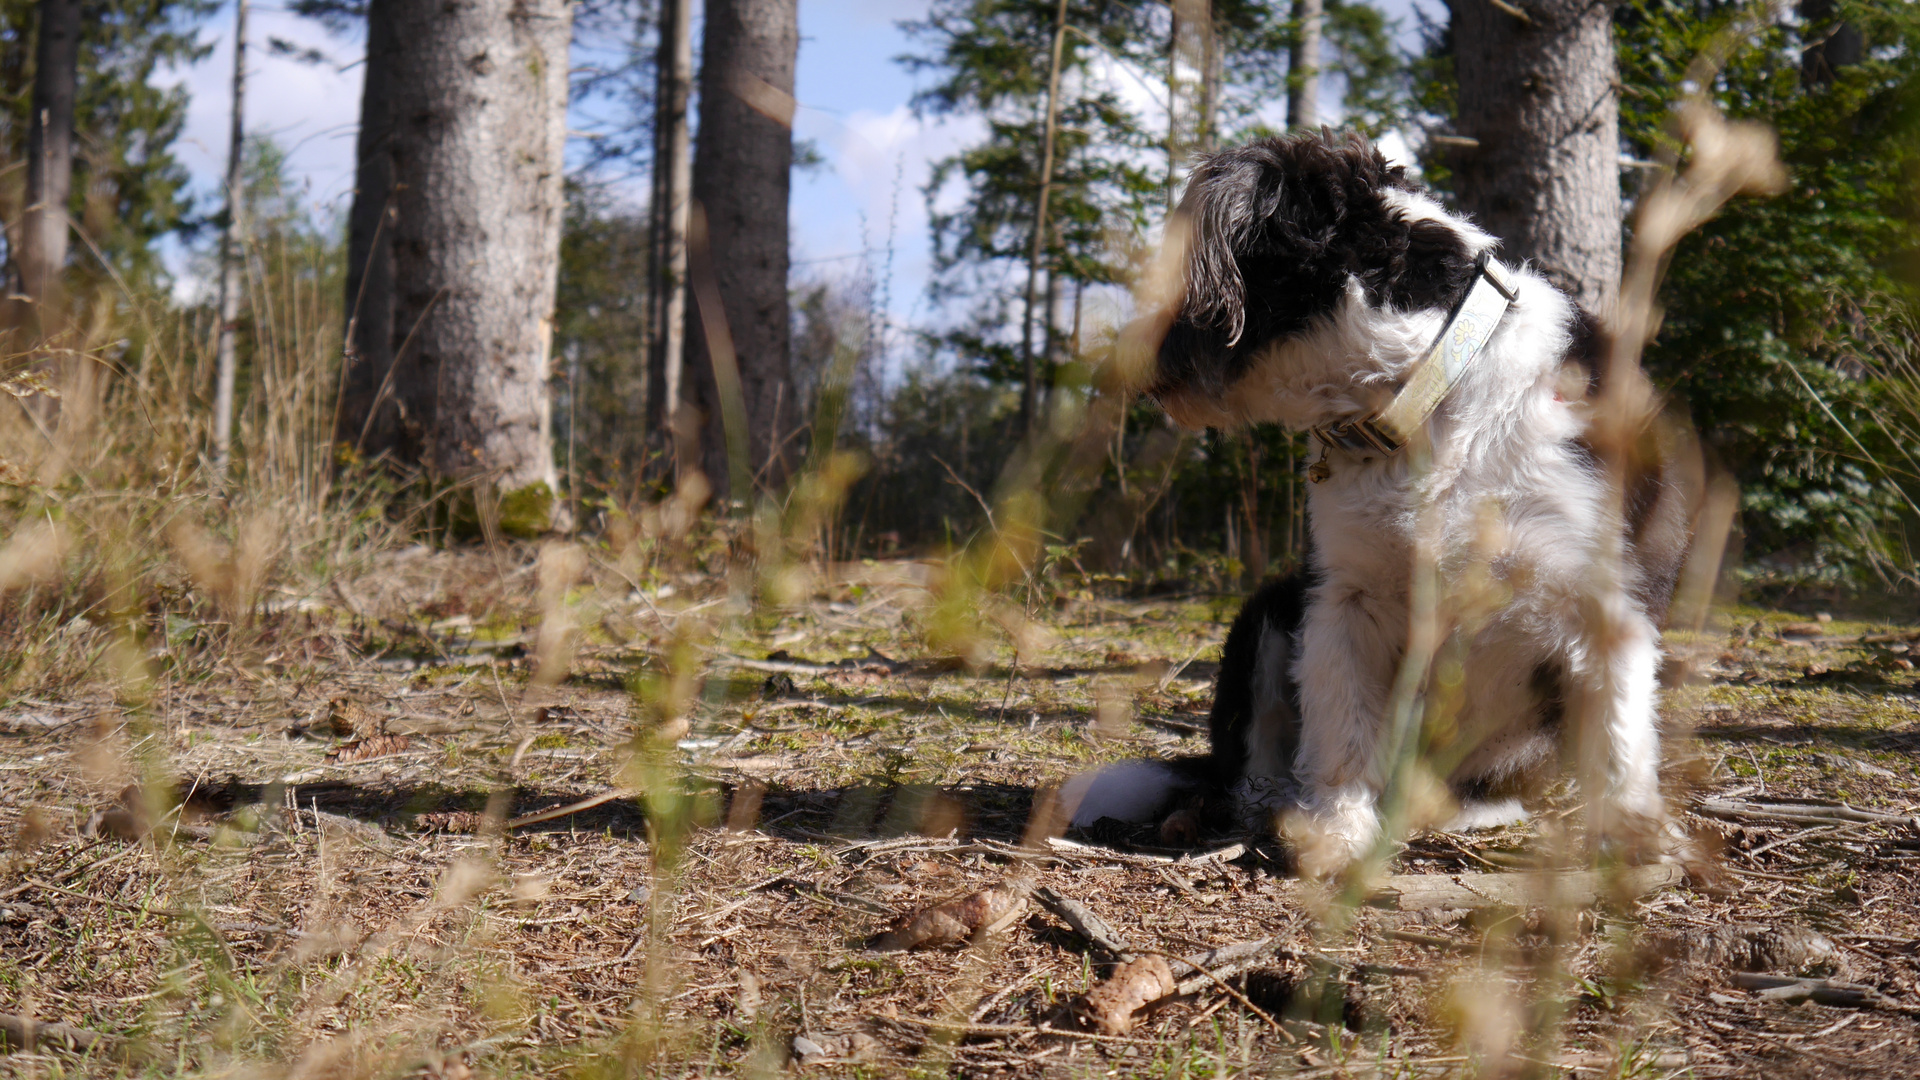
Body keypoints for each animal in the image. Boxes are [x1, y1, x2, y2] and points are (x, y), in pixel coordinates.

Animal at [1067, 134, 1697, 876]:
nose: (1119, 355)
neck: (1427, 395)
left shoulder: (1603, 601)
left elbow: (1619, 735)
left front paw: (1635, 840)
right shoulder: (1343, 598)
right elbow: (1342, 729)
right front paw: (1334, 833)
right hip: (1267, 611)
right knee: (1247, 773)